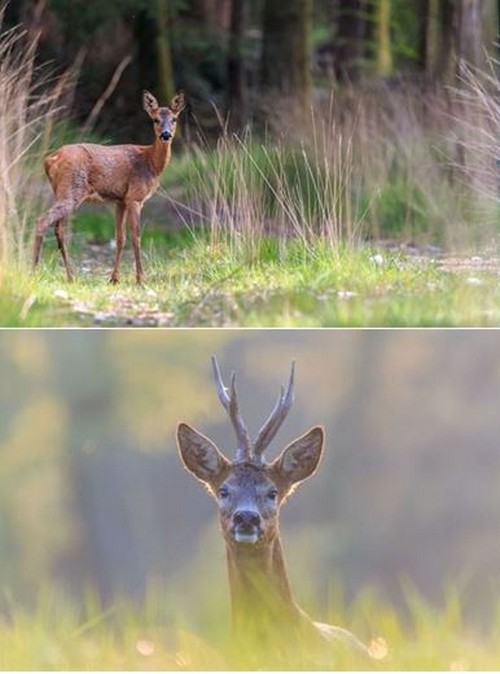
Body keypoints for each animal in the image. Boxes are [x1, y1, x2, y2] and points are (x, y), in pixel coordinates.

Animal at [32, 90, 186, 284]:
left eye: (174, 119)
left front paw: (114, 278)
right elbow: (136, 236)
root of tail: (49, 159)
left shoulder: (120, 200)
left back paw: (71, 276)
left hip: (62, 191)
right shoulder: (135, 197)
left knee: (59, 229)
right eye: (155, 119)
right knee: (43, 220)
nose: (166, 135)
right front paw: (141, 278)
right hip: (71, 189)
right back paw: (34, 271)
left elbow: (120, 238)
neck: (150, 162)